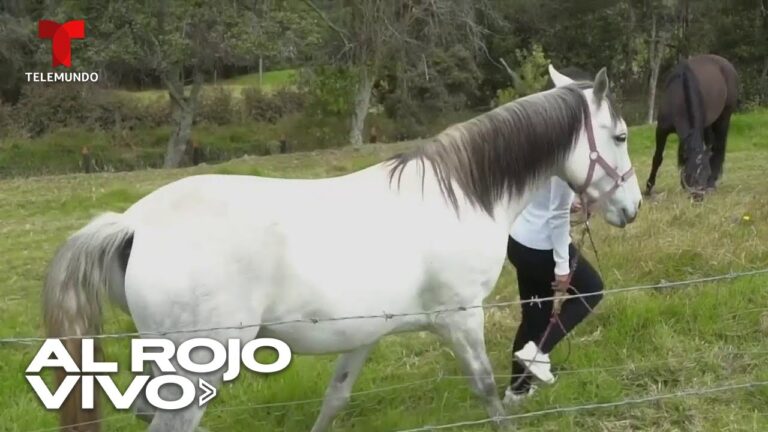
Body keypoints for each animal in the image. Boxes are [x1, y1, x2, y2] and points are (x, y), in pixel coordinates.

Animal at [42, 65, 641, 432]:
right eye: (620, 136)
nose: (631, 207)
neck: (461, 194)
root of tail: (132, 224)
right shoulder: (461, 319)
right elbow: (487, 390)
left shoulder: (364, 333)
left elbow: (335, 398)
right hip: (198, 367)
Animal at [644, 54, 739, 199]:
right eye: (691, 174)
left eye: (706, 172)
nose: (699, 196)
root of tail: (727, 64)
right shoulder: (661, 130)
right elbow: (658, 158)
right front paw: (648, 189)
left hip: (724, 117)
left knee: (719, 148)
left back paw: (712, 184)